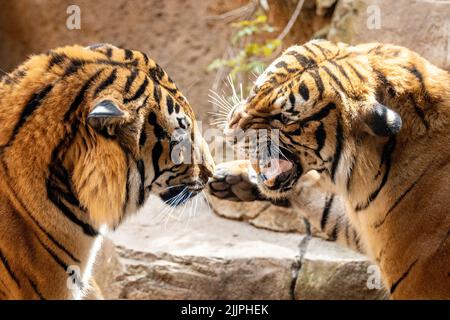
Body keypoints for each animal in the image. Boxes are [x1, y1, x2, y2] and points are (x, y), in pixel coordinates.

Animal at [209, 40, 450, 300]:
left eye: (284, 118)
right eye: (256, 90)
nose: (231, 129)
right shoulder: (363, 225)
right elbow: (322, 203)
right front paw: (229, 177)